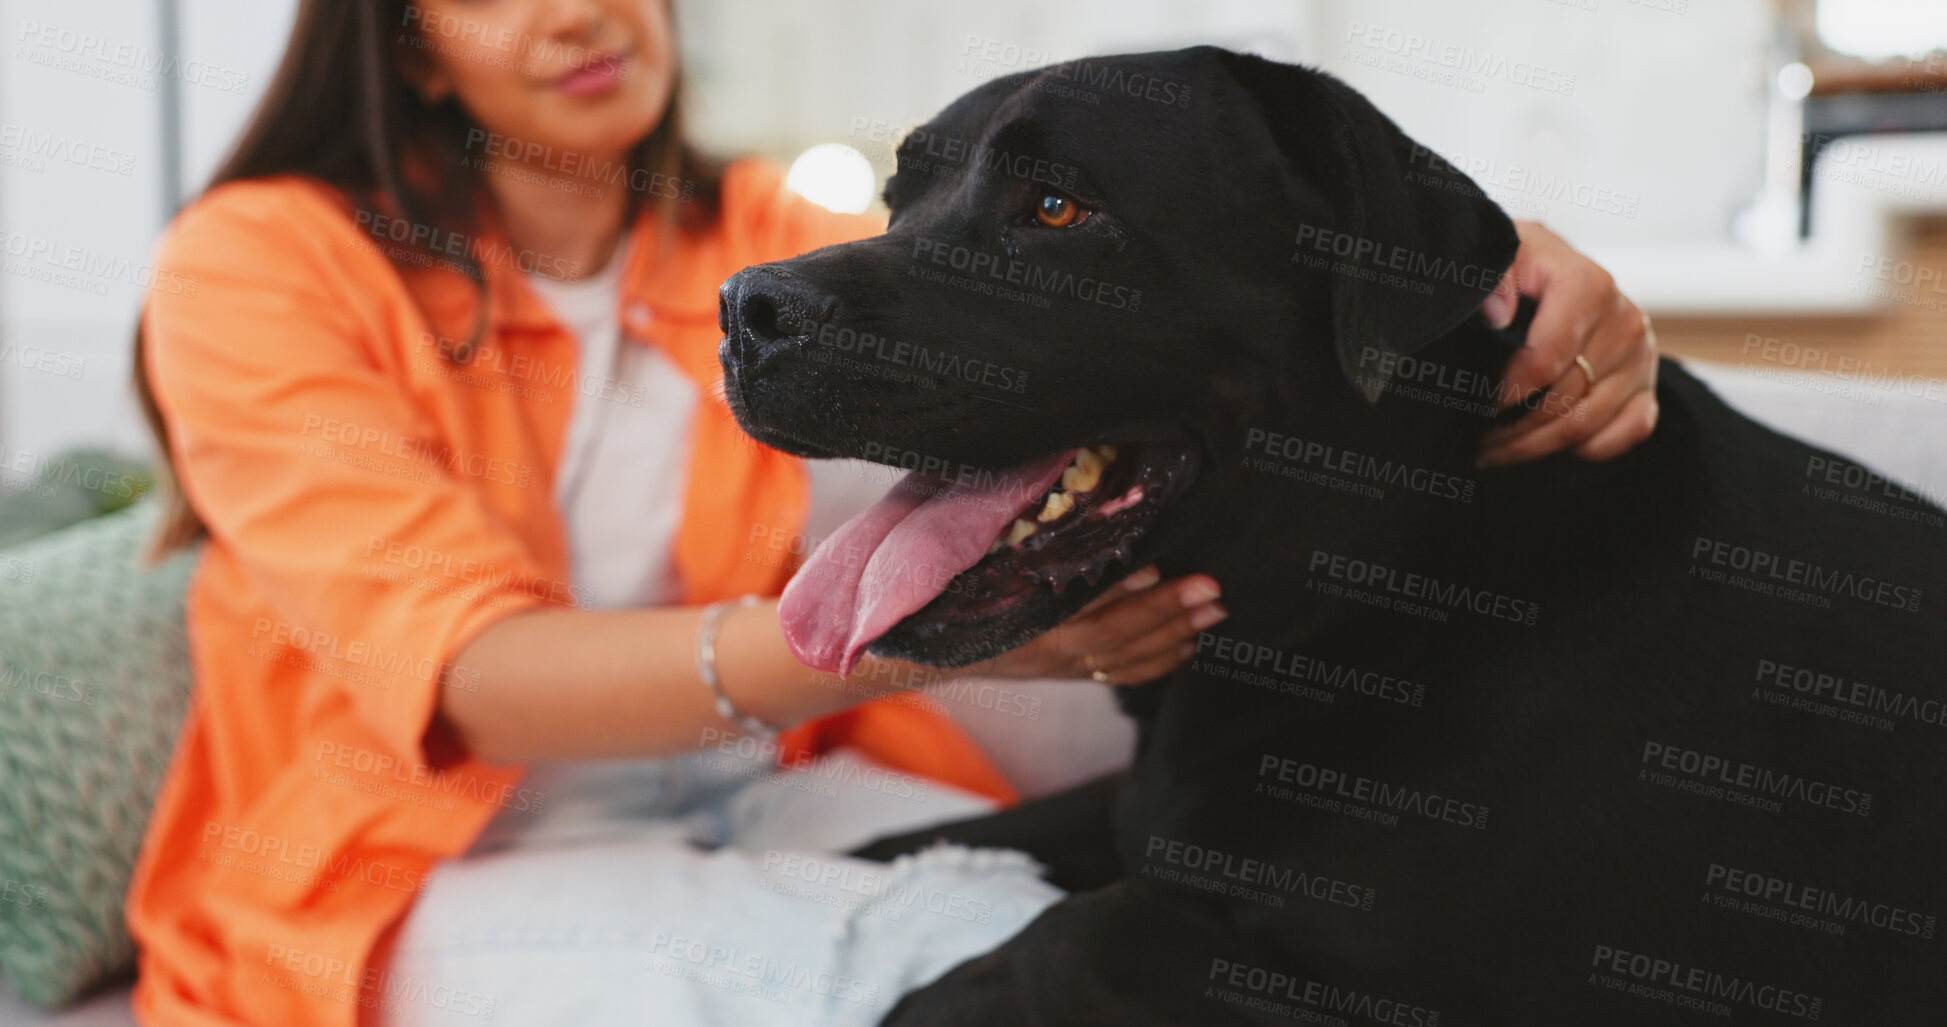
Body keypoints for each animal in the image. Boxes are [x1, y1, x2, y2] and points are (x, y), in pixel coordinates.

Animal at [724, 44, 1947, 1021]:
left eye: (1060, 209)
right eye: (895, 200)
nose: (750, 309)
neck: (1379, 589)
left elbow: (1101, 924)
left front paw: (935, 992)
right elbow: (927, 840)